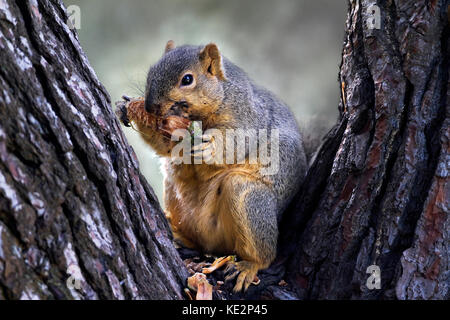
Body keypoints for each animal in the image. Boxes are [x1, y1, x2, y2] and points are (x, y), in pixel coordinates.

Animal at [115, 40, 310, 292]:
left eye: (187, 79)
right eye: (151, 72)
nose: (150, 107)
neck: (222, 95)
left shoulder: (248, 118)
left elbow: (236, 142)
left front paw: (210, 148)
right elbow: (167, 147)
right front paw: (127, 107)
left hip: (247, 196)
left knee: (263, 254)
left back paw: (249, 266)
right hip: (174, 191)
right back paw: (177, 232)